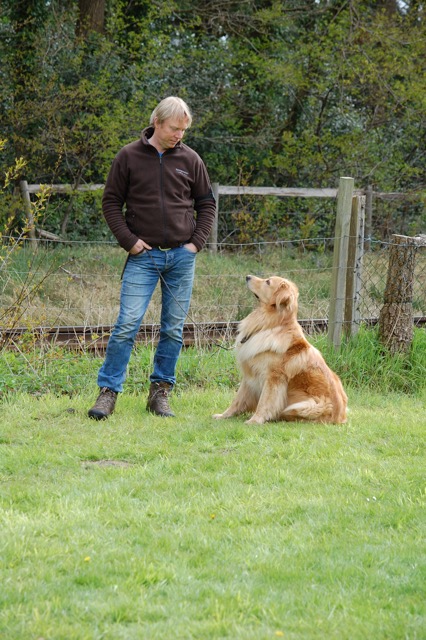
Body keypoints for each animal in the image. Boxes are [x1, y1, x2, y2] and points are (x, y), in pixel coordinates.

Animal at [215, 276, 348, 424]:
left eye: (268, 282)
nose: (247, 276)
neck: (269, 325)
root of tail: (340, 417)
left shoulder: (273, 378)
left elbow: (264, 402)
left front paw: (255, 420)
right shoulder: (250, 375)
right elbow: (237, 400)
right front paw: (224, 416)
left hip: (311, 405)